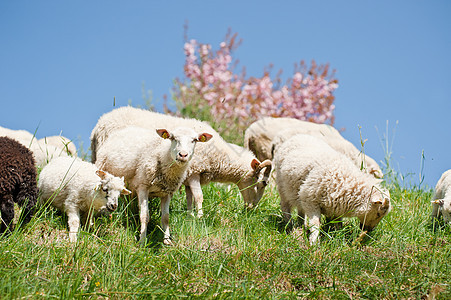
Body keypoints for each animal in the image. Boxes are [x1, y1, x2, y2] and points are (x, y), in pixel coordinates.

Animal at [89, 106, 272, 217]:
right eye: (261, 183)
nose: (252, 209)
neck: (219, 156)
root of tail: (98, 125)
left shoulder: (188, 176)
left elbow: (190, 197)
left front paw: (190, 215)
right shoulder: (195, 172)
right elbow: (199, 196)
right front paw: (200, 217)